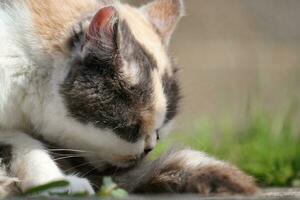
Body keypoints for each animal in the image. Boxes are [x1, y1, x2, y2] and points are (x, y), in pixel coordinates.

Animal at [0, 0, 258, 197]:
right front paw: (58, 182)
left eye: (159, 131)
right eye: (130, 128)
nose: (148, 149)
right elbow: (23, 143)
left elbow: (21, 143)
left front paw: (56, 184)